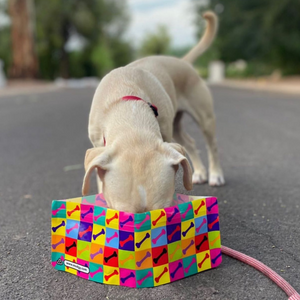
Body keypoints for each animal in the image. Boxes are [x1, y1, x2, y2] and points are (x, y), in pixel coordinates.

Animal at [83, 12, 224, 213]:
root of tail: (182, 62)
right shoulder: (98, 145)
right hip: (176, 125)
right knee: (189, 142)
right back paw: (199, 173)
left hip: (204, 116)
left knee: (212, 145)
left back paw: (215, 175)